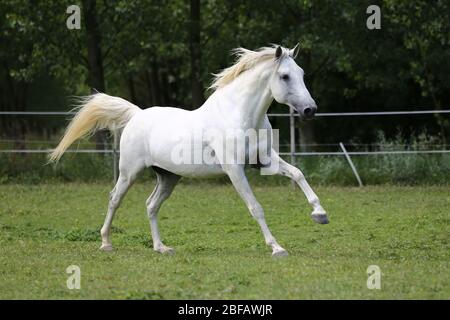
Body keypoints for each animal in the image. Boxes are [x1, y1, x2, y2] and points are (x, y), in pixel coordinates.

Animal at [51, 44, 328, 258]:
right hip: (129, 172)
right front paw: (277, 248)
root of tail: (137, 115)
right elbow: (255, 207)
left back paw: (161, 248)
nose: (310, 110)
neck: (240, 115)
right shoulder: (235, 169)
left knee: (151, 205)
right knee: (114, 200)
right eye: (285, 76)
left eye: (301, 73)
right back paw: (106, 243)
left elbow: (298, 173)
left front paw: (320, 214)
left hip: (168, 177)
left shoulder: (265, 161)